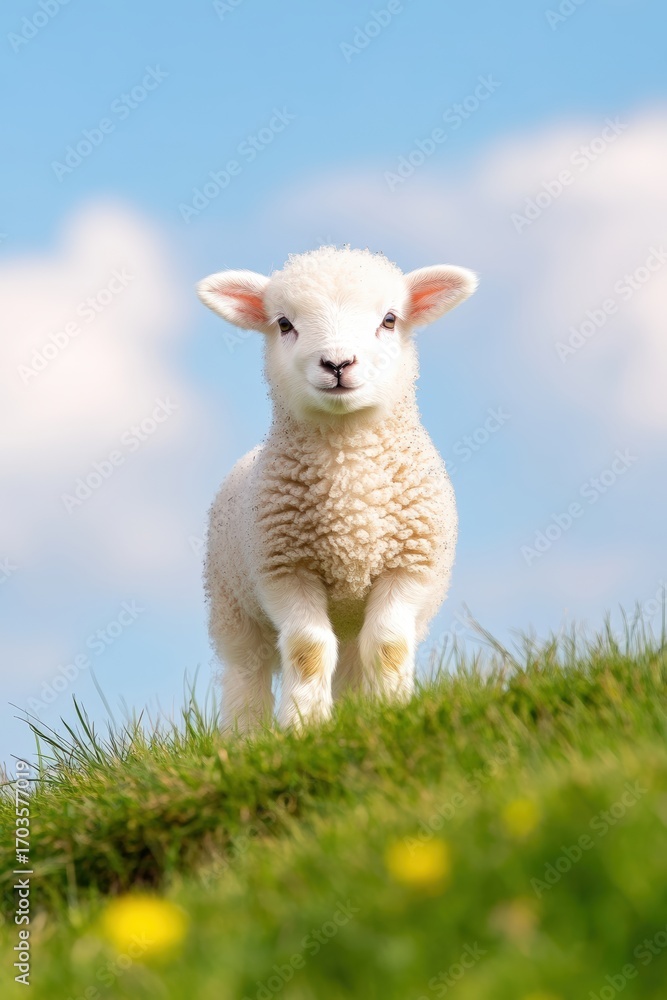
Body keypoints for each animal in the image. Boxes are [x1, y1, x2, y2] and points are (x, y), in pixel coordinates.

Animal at [197, 246, 477, 731]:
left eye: (389, 320)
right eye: (284, 324)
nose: (337, 364)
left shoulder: (408, 567)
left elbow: (388, 646)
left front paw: (389, 711)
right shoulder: (285, 570)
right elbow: (307, 651)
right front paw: (303, 725)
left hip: (348, 618)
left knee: (352, 659)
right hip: (233, 608)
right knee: (245, 673)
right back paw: (246, 736)